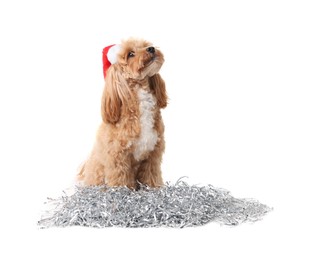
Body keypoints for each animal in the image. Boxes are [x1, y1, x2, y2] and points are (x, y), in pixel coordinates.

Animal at [78, 37, 169, 189]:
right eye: (130, 54)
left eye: (145, 45)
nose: (151, 49)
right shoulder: (118, 157)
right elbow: (120, 181)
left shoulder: (153, 155)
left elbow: (152, 177)